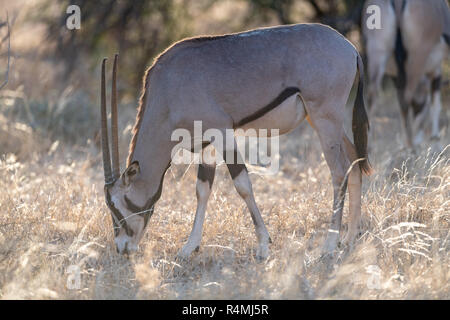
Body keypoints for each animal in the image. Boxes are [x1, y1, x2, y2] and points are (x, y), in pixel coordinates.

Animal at [100, 23, 370, 258]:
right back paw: (349, 238)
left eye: (116, 204)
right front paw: (189, 247)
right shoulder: (206, 144)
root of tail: (349, 47)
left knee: (339, 171)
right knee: (354, 160)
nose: (122, 248)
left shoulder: (222, 133)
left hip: (325, 117)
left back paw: (330, 244)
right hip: (325, 121)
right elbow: (202, 190)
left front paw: (263, 244)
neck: (167, 91)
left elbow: (242, 185)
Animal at [362, 0, 450, 148]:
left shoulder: (396, 76)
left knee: (372, 95)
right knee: (407, 95)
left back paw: (370, 146)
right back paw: (411, 143)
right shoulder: (435, 70)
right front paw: (434, 139)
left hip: (377, 52)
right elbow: (435, 104)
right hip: (417, 57)